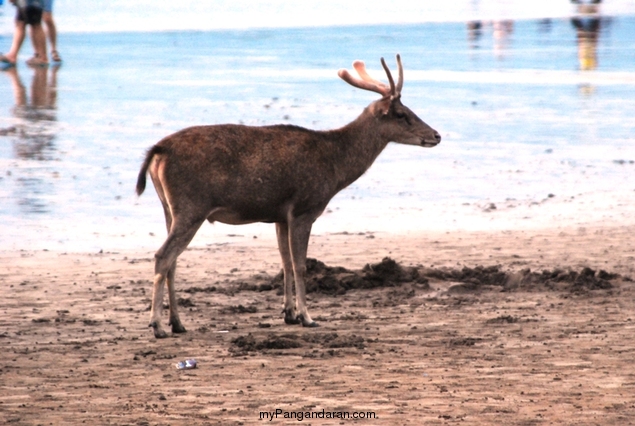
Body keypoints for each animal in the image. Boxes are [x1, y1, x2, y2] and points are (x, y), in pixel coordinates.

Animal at [137, 55, 440, 338]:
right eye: (401, 113)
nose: (436, 135)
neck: (335, 166)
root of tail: (158, 150)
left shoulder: (280, 216)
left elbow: (284, 262)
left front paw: (289, 313)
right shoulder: (304, 208)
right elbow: (300, 265)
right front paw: (307, 317)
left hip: (169, 208)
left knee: (172, 262)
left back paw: (177, 323)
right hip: (192, 206)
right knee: (163, 256)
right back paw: (157, 326)